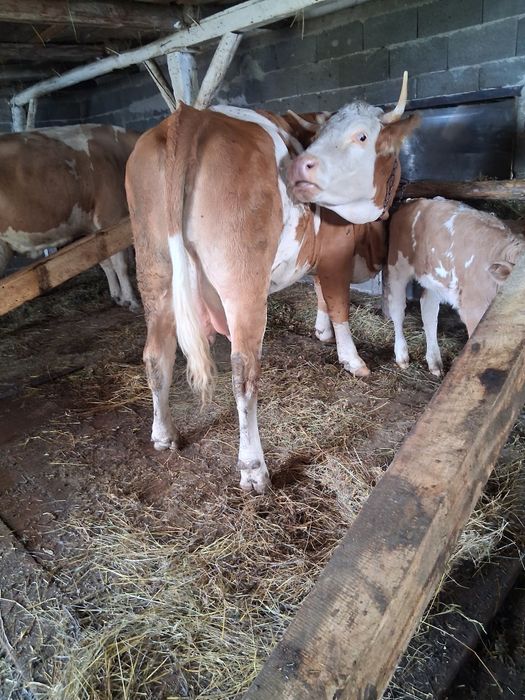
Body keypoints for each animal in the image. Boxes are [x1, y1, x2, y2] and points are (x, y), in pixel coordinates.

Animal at [0, 123, 140, 309]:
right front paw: (131, 300)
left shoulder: (93, 229)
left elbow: (105, 262)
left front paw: (118, 297)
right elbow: (121, 264)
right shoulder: (110, 216)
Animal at [125, 74, 418, 494]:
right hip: (242, 282)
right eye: (362, 137)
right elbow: (339, 303)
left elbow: (320, 292)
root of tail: (188, 116)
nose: (302, 167)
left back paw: (164, 434)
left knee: (155, 355)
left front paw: (321, 331)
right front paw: (352, 359)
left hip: (154, 269)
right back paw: (253, 468)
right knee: (243, 373)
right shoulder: (336, 253)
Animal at [385, 197, 525, 376]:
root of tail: (413, 201)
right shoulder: (474, 311)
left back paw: (434, 362)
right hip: (397, 267)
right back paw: (402, 355)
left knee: (429, 311)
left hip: (435, 280)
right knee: (397, 309)